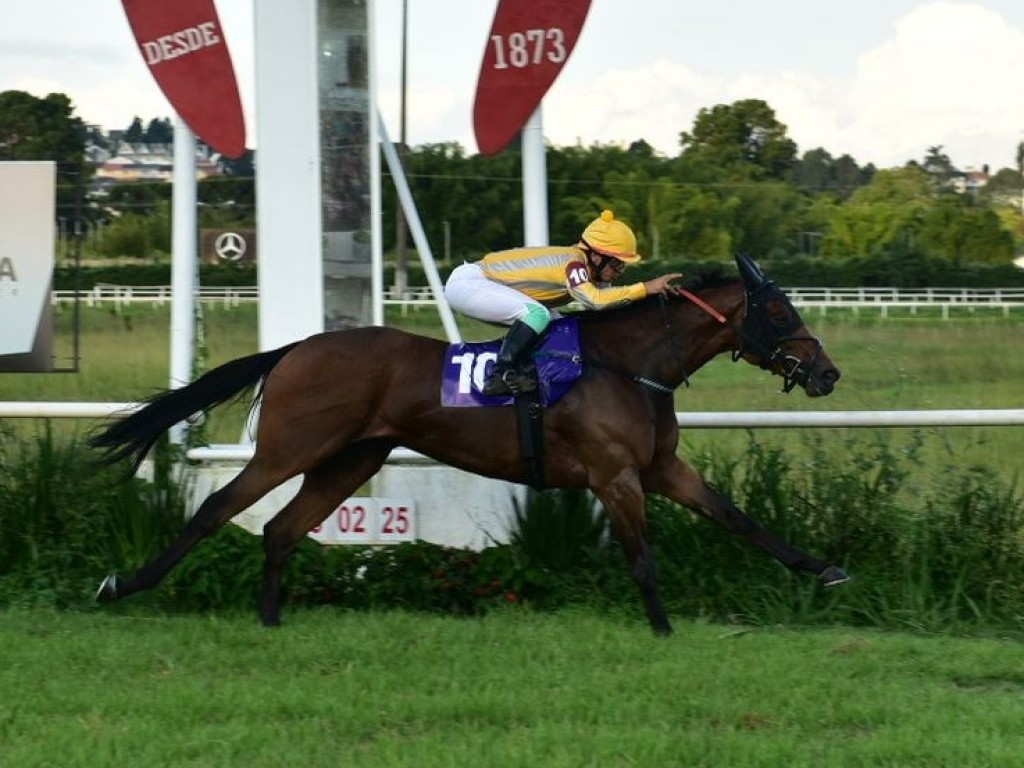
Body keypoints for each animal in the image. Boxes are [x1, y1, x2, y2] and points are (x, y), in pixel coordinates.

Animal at [92, 256, 847, 634]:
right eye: (776, 309)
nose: (827, 373)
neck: (627, 365)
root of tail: (296, 347)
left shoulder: (661, 467)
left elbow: (738, 519)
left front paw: (823, 569)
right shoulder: (614, 475)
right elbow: (642, 557)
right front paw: (661, 628)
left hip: (350, 459)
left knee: (280, 528)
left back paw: (272, 618)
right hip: (291, 448)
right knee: (216, 509)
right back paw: (124, 583)